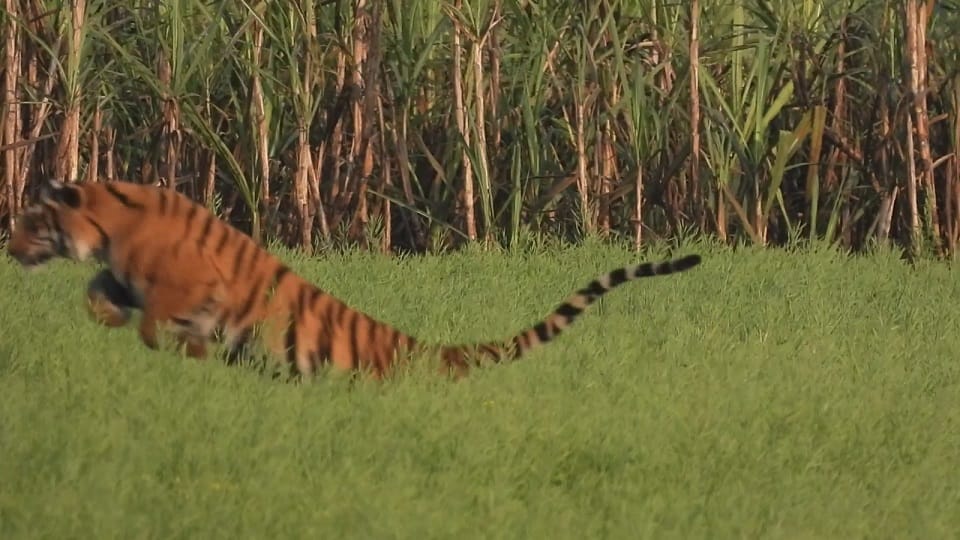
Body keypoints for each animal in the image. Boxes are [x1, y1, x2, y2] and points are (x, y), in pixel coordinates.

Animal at [6, 179, 703, 379]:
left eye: (30, 219)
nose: (8, 248)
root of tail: (422, 349)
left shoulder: (191, 285)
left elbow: (158, 321)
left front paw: (168, 353)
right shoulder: (122, 278)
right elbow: (100, 295)